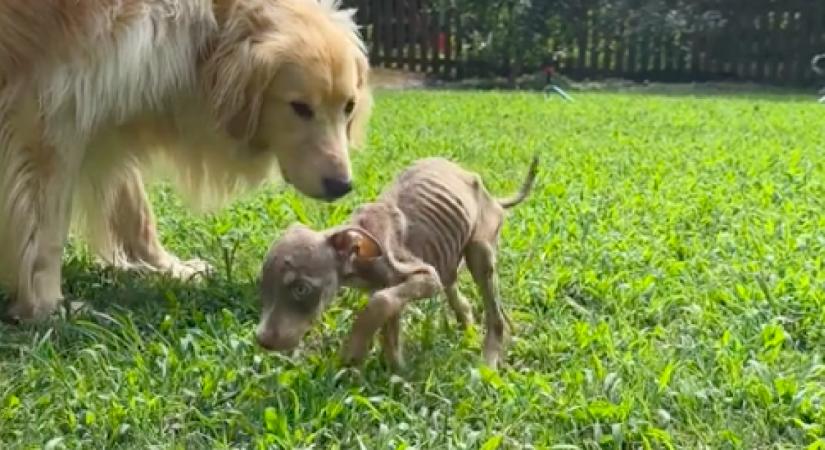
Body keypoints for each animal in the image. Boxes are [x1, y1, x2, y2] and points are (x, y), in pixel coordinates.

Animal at [258, 155, 540, 370]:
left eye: (301, 289)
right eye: (264, 287)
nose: (262, 340)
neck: (362, 250)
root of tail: (491, 196)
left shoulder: (423, 276)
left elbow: (379, 303)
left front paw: (353, 351)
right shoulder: (390, 285)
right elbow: (388, 328)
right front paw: (397, 375)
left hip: (480, 249)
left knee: (495, 314)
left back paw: (488, 362)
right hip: (449, 259)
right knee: (464, 300)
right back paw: (469, 332)